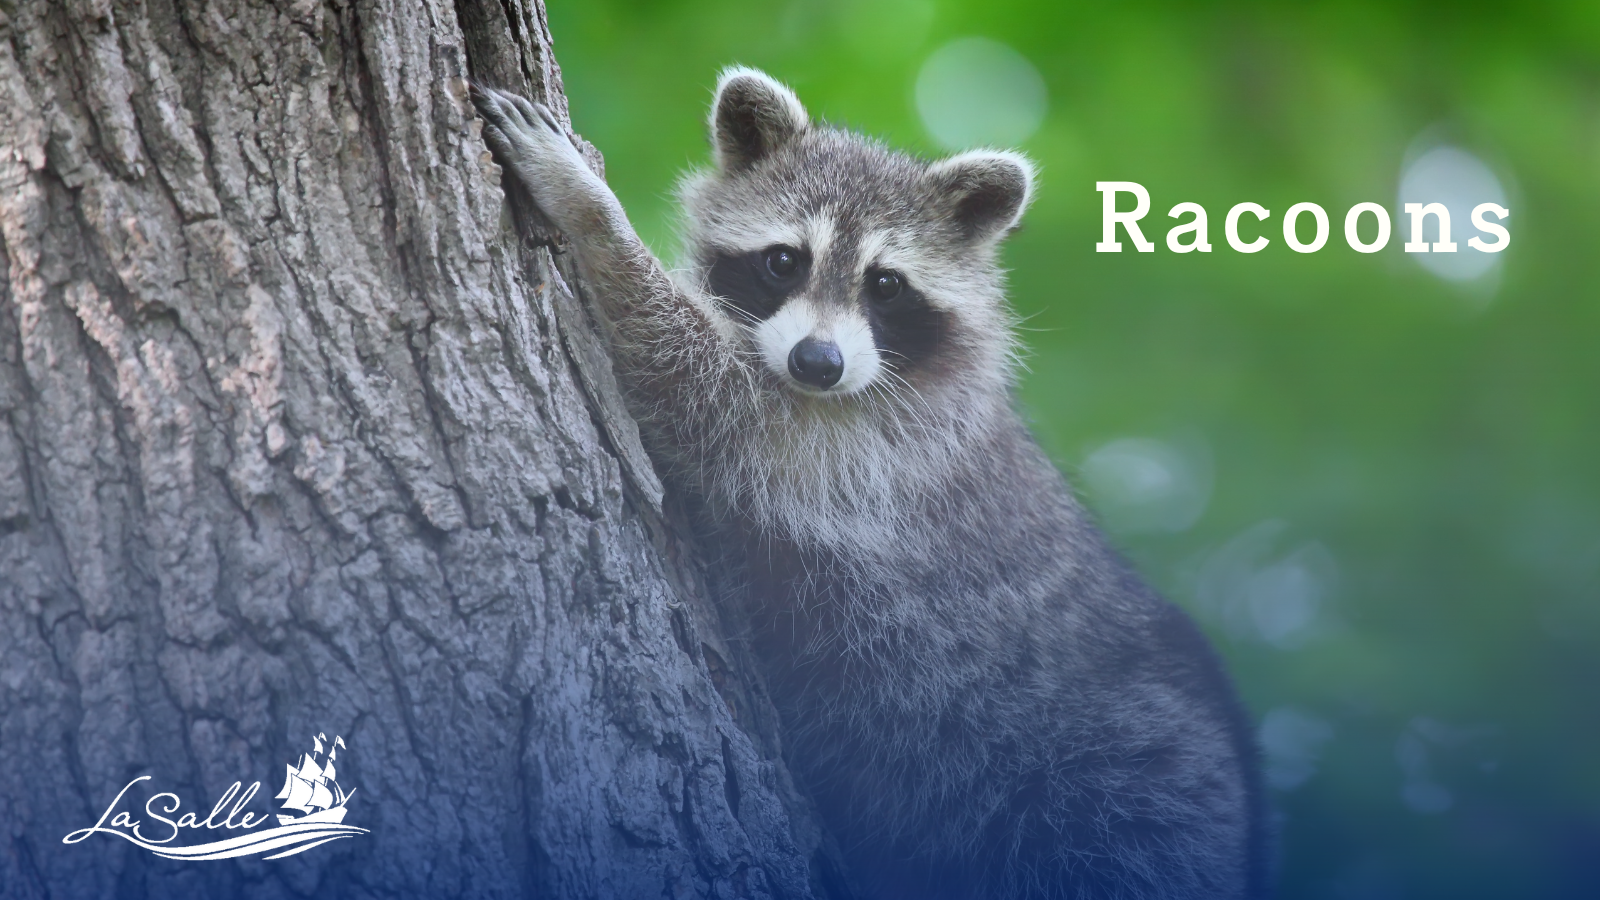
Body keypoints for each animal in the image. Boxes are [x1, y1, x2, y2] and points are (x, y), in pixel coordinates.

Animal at [472, 68, 1269, 899]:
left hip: (1124, 805)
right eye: (783, 261)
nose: (817, 363)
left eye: (885, 285)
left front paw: (591, 209)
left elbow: (695, 381)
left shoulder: (873, 452)